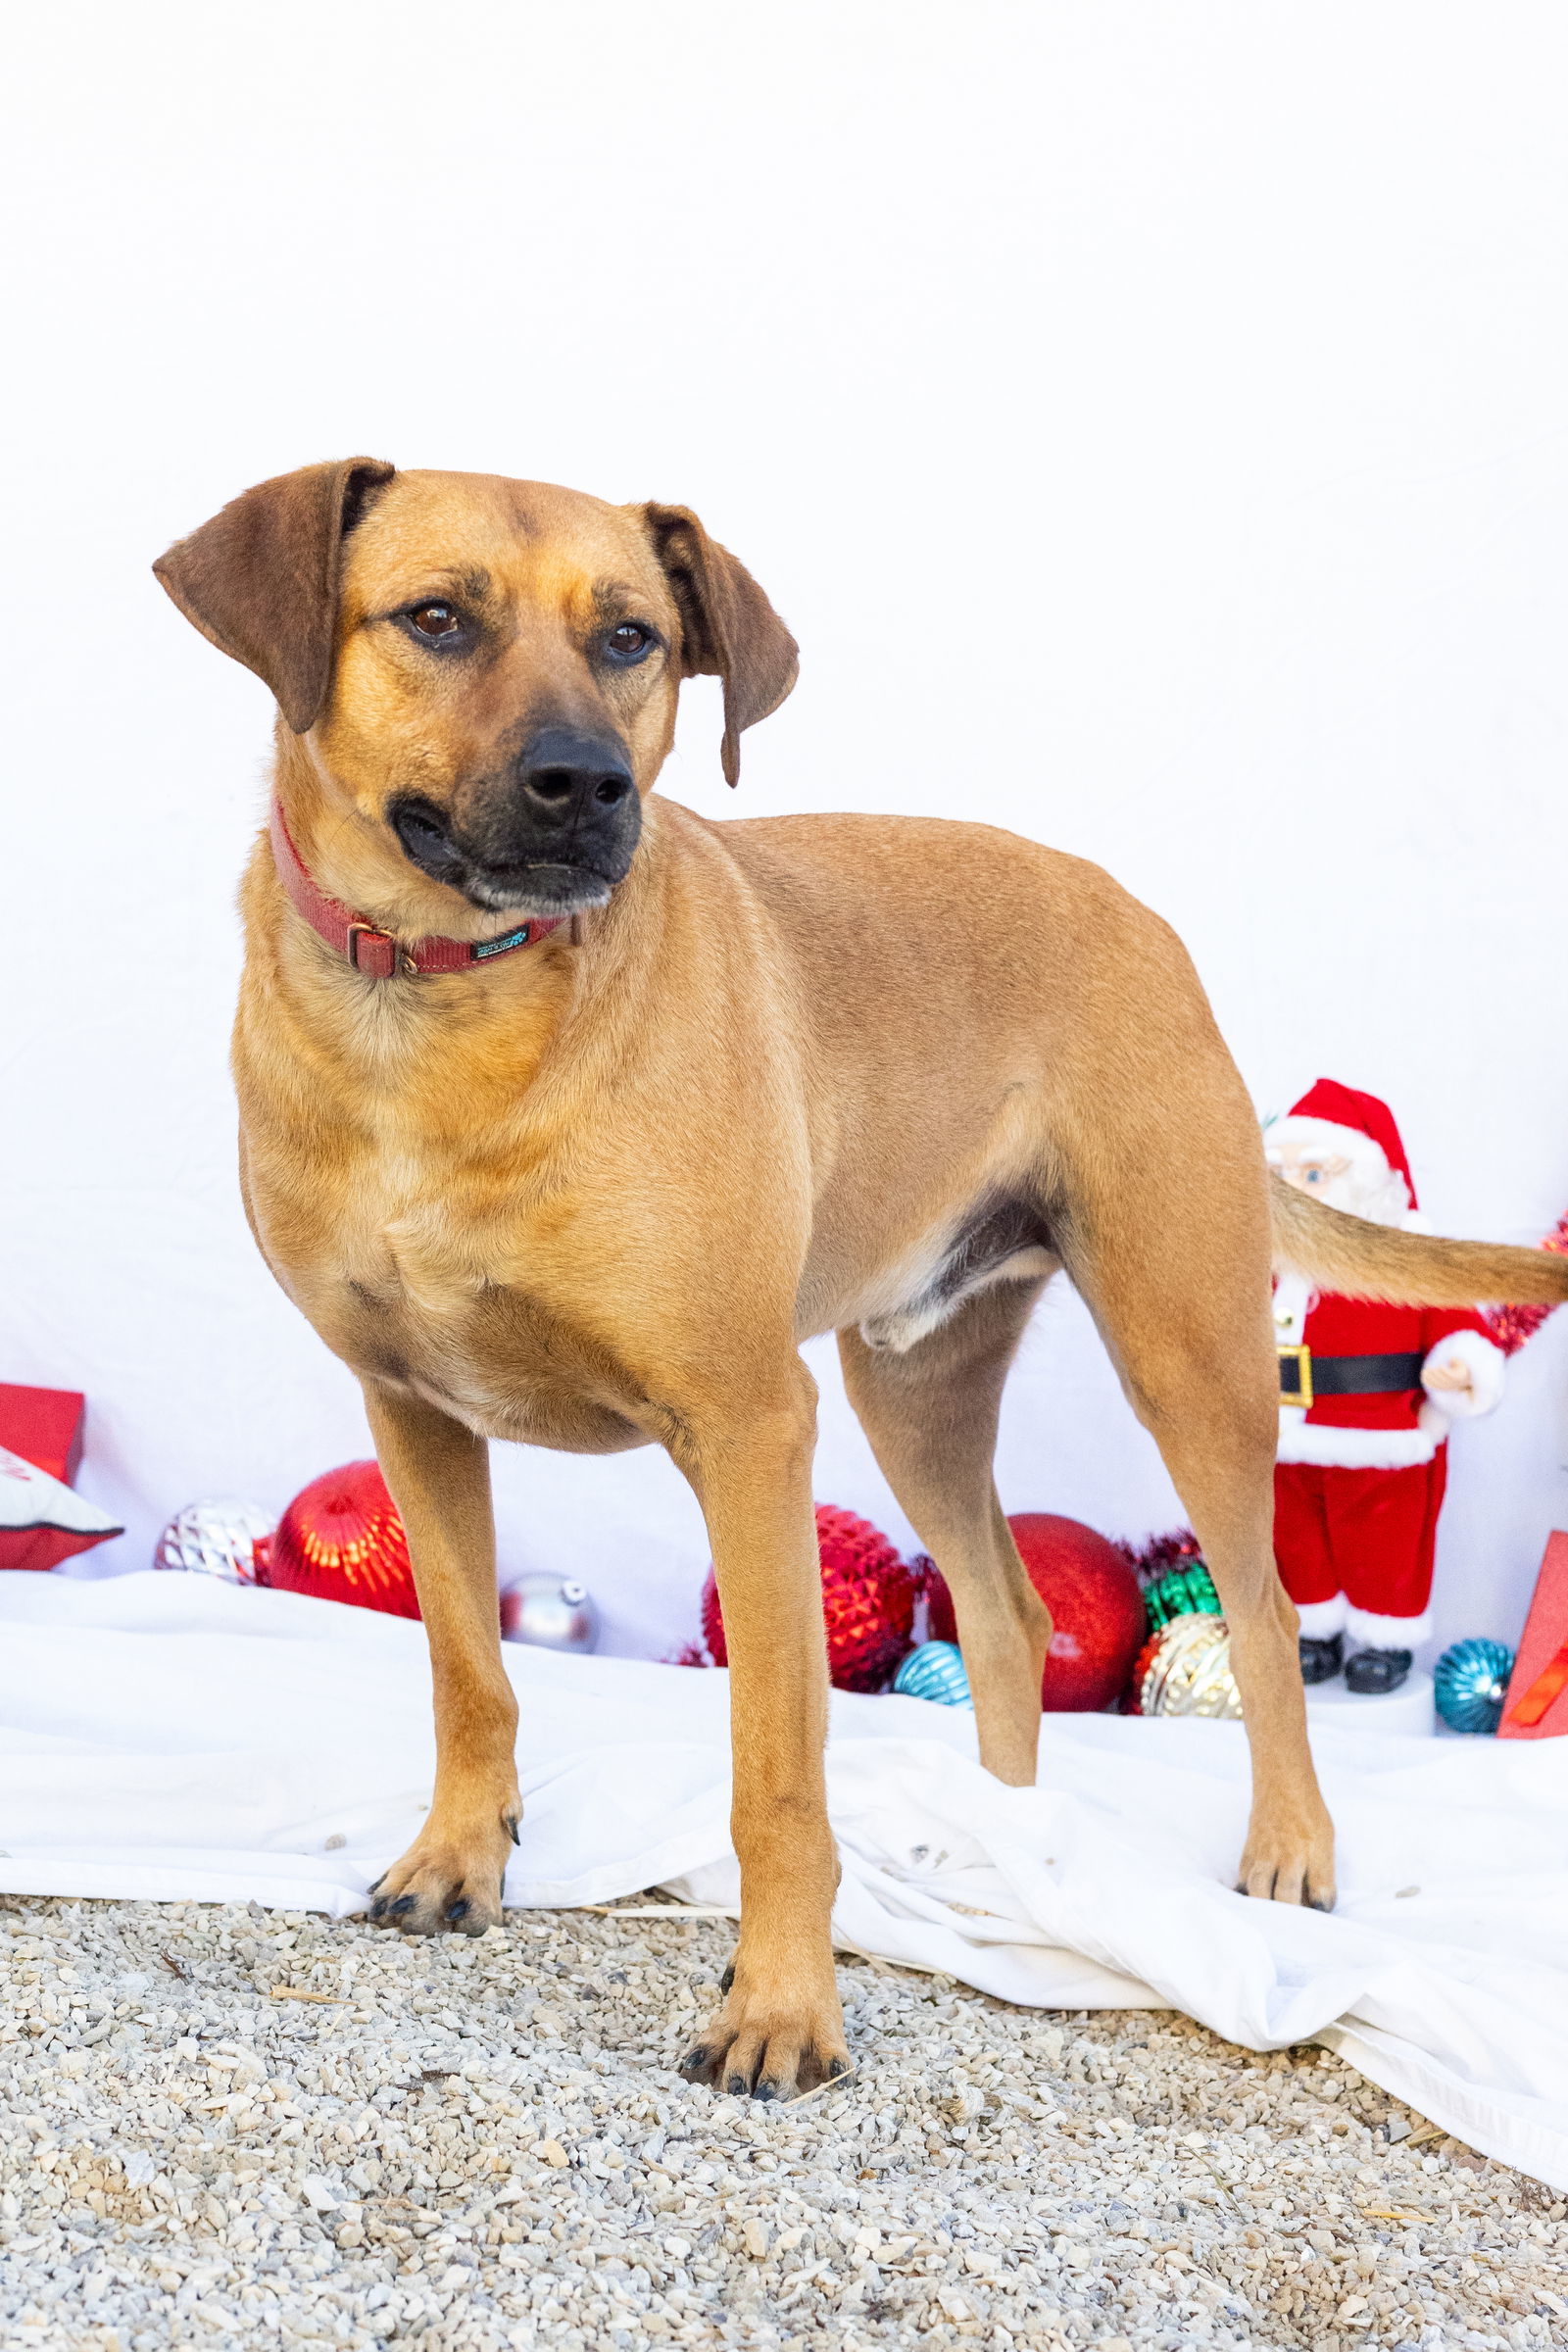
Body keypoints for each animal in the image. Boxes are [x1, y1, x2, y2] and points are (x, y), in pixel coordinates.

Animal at [150, 459, 1568, 2097]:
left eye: (631, 637)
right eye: (436, 618)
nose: (589, 786)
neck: (443, 1011)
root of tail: (1142, 919)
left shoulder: (749, 1429)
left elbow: (775, 1766)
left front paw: (780, 2008)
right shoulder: (413, 1414)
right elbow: (467, 1667)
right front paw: (460, 1858)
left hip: (1184, 1351)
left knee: (1268, 1615)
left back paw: (1285, 1850)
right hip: (917, 1389)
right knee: (1010, 1616)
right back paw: (1006, 1845)